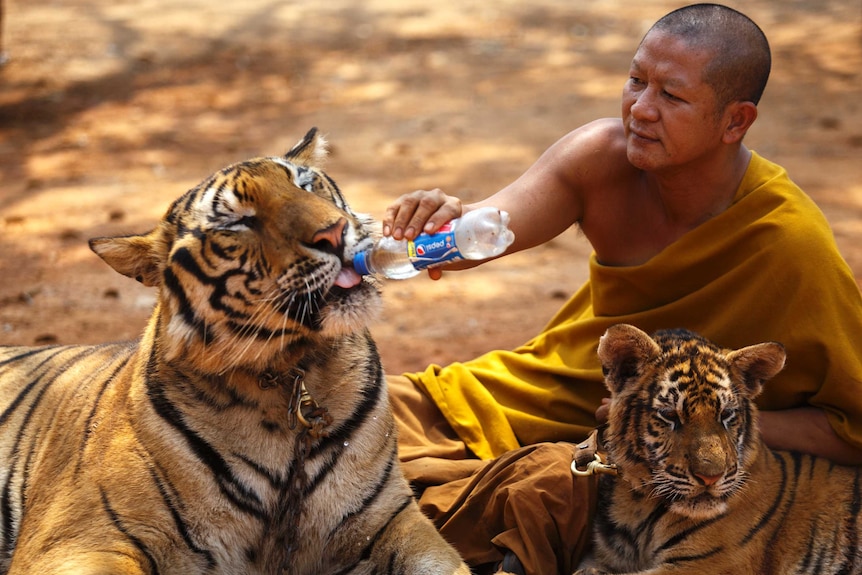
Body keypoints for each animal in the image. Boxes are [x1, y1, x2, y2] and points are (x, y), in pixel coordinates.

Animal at [1, 129, 472, 575]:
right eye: (239, 222)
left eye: (305, 183)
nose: (334, 232)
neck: (289, 370)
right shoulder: (82, 537)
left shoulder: (391, 520)